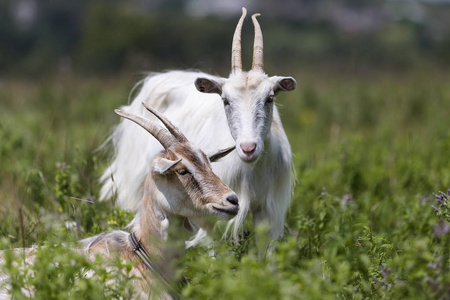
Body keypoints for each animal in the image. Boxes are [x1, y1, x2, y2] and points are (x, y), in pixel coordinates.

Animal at [100, 7, 298, 241]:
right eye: (225, 100)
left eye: (270, 98)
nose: (248, 148)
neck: (253, 170)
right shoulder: (213, 209)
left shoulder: (269, 213)